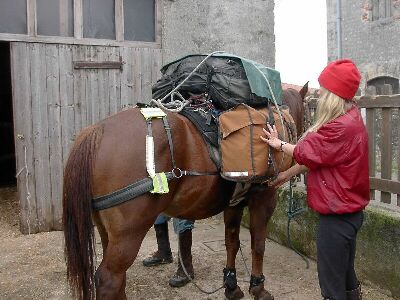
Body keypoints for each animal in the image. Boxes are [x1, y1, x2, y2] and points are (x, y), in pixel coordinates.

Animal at [62, 82, 308, 300]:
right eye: (307, 115)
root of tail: (96, 131)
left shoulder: (234, 203)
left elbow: (232, 242)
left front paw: (231, 285)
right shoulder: (264, 199)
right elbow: (258, 244)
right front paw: (258, 288)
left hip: (107, 231)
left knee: (118, 278)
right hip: (128, 233)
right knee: (109, 280)